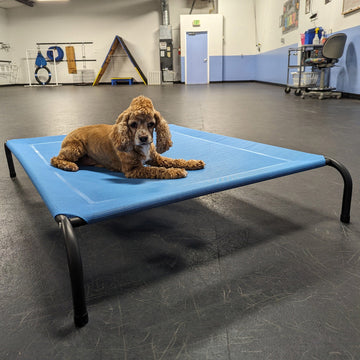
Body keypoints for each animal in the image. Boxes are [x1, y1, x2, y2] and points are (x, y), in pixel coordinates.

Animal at [50, 95, 205, 179]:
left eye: (151, 124)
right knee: (54, 159)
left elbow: (174, 161)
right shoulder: (134, 169)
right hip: (76, 148)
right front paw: (177, 171)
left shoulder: (156, 158)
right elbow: (158, 170)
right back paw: (69, 165)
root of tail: (69, 133)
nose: (143, 138)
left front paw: (193, 163)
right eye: (133, 124)